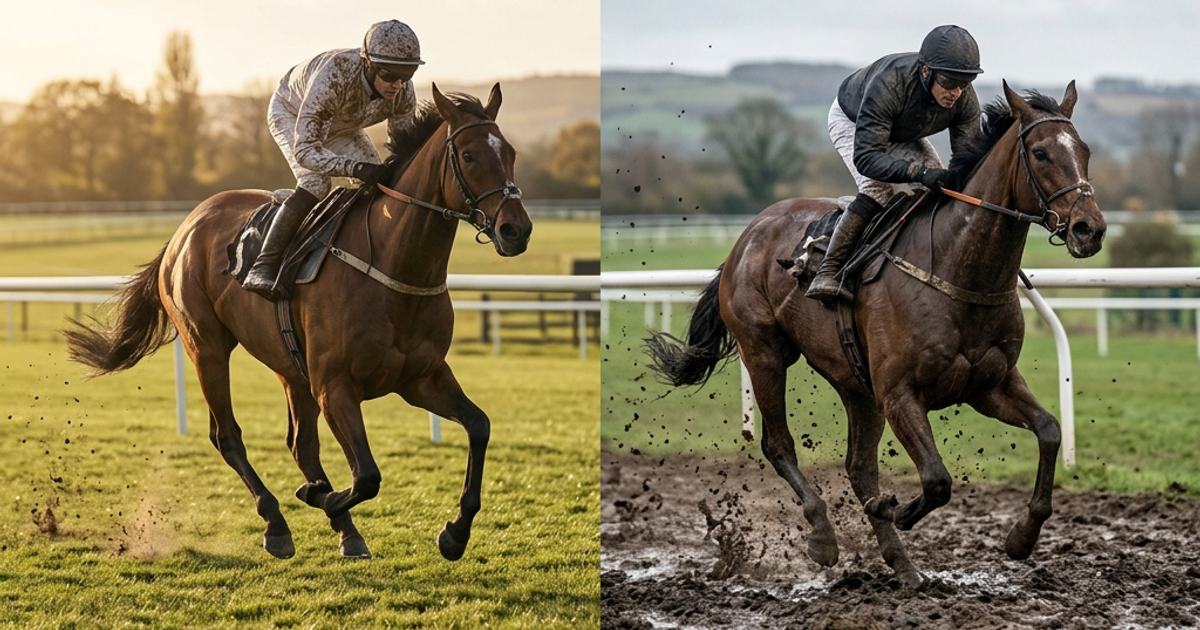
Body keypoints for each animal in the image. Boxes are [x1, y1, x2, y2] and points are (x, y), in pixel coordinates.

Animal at [63, 83, 533, 561]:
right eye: (470, 155)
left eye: (510, 152)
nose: (516, 230)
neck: (395, 268)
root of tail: (185, 228)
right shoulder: (335, 386)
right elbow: (367, 476)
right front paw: (318, 496)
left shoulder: (421, 378)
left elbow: (478, 426)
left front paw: (455, 532)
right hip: (206, 347)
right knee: (227, 435)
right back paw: (277, 523)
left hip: (289, 364)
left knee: (301, 444)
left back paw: (344, 529)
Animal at [645, 81, 1105, 586]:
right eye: (1040, 152)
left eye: (1084, 150)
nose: (1090, 228)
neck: (955, 267)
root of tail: (746, 237)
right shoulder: (899, 392)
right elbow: (937, 480)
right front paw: (895, 510)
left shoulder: (990, 385)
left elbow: (1049, 430)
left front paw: (1022, 536)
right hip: (764, 352)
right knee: (779, 444)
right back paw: (824, 536)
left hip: (855, 383)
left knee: (859, 467)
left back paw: (900, 563)